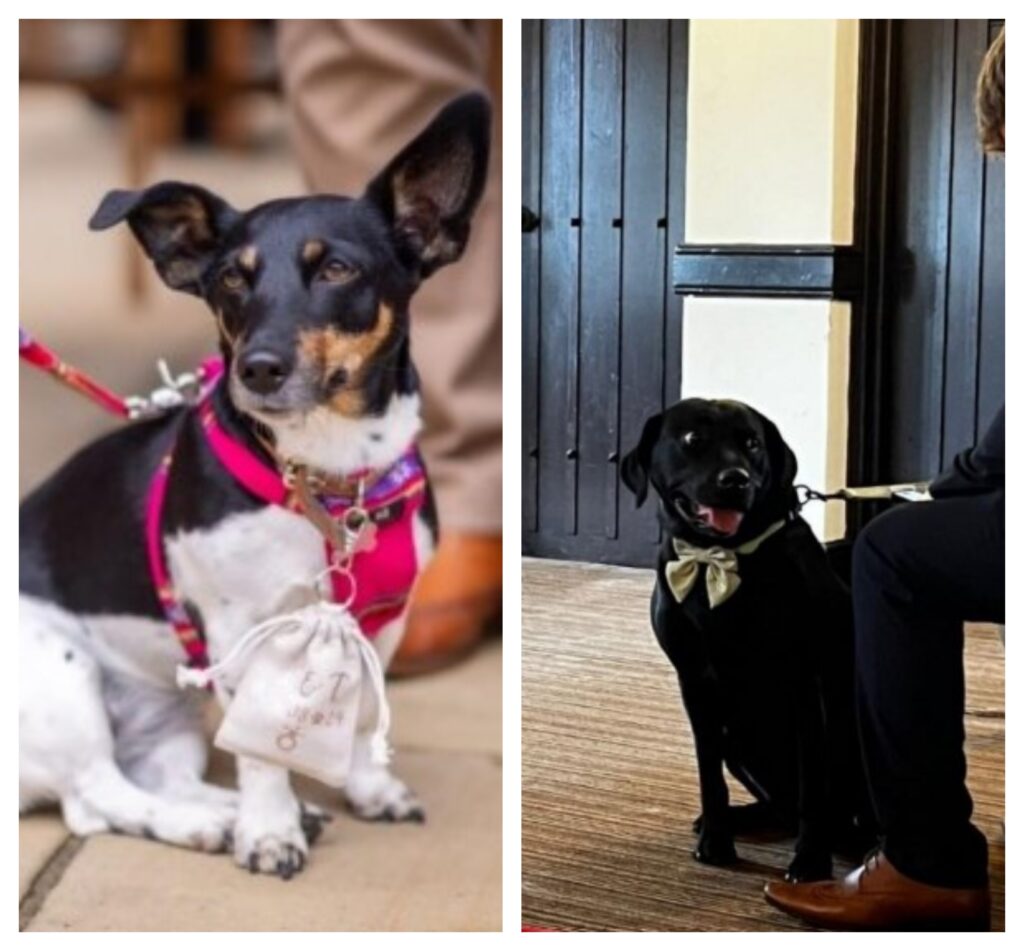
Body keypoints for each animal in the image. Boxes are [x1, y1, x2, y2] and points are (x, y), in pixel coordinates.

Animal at [18, 94, 491, 876]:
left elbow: (363, 712)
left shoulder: (383, 620)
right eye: (230, 280)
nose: (258, 368)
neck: (328, 481)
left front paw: (366, 790)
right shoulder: (240, 632)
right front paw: (270, 833)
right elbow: (261, 756)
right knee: (98, 794)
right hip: (62, 678)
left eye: (336, 269)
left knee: (154, 777)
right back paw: (217, 824)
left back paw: (226, 812)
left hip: (165, 712)